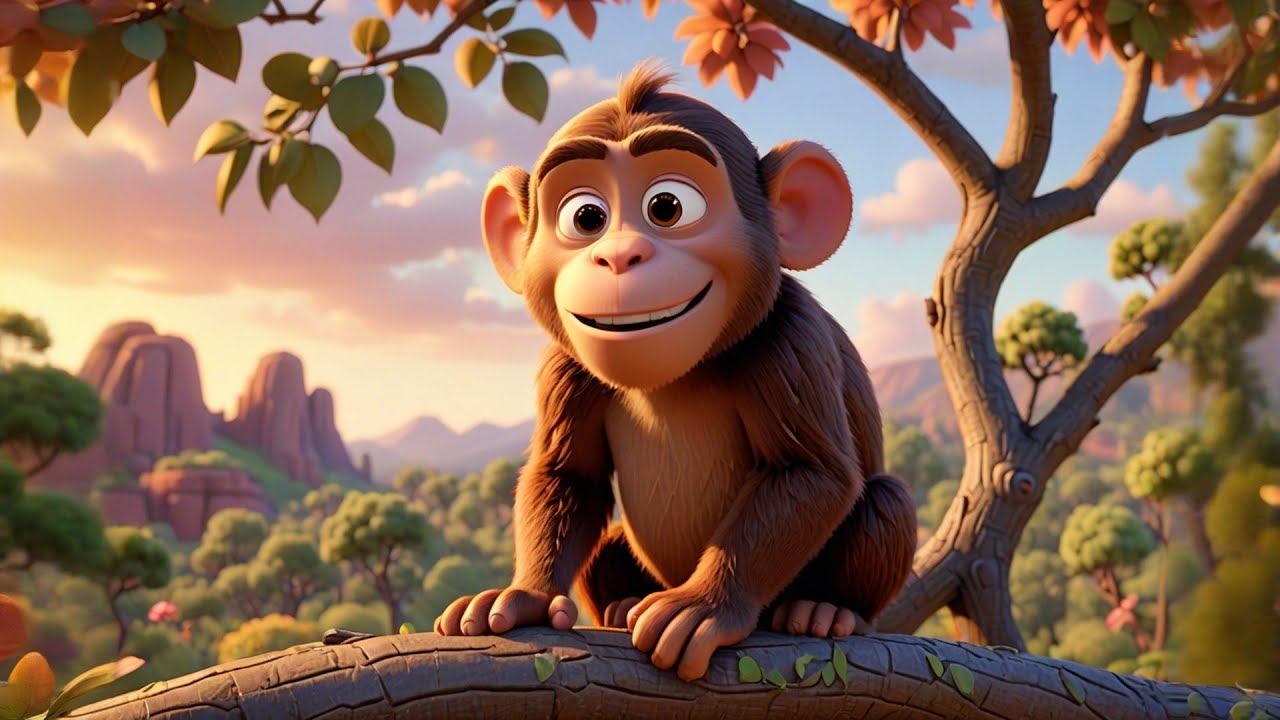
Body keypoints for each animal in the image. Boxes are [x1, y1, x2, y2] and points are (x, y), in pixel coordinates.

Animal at [434, 60, 917, 682]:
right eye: (585, 217)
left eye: (668, 207)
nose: (618, 256)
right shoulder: (567, 366)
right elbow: (569, 475)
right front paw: (524, 597)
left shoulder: (791, 338)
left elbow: (809, 473)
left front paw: (703, 606)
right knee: (611, 541)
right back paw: (621, 604)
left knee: (886, 500)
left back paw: (827, 610)